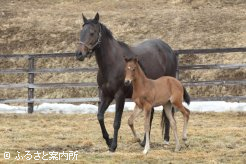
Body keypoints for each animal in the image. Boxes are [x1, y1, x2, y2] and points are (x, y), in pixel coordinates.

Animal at [75, 13, 177, 152]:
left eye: (92, 32)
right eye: (81, 32)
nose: (79, 54)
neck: (112, 63)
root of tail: (169, 50)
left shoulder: (120, 96)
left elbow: (116, 122)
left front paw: (113, 145)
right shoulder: (106, 95)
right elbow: (100, 116)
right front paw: (108, 141)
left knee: (168, 114)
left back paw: (166, 139)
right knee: (151, 115)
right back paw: (145, 141)